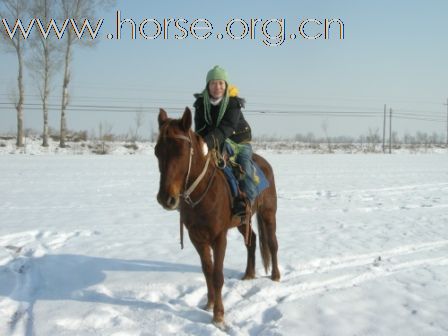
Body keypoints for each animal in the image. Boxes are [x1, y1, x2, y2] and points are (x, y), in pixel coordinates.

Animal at [155, 107, 280, 326]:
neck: (203, 191)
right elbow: (208, 271)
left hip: (268, 213)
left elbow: (218, 275)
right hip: (242, 220)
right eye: (156, 151)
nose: (165, 198)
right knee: (252, 241)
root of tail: (265, 164)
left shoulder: (219, 237)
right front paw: (209, 304)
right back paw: (249, 274)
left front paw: (219, 315)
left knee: (272, 243)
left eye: (181, 151)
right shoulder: (197, 238)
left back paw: (275, 276)